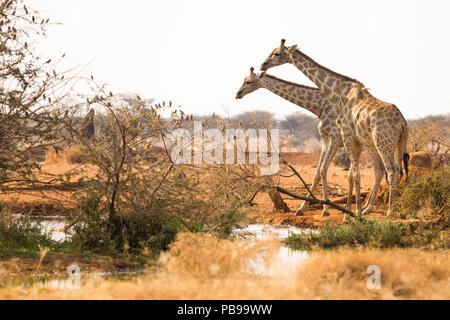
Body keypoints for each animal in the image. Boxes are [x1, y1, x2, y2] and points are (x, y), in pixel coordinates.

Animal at [258, 40, 410, 219]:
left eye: (277, 53)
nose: (262, 65)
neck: (340, 93)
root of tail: (402, 122)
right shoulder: (354, 141)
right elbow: (349, 174)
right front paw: (350, 213)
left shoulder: (345, 136)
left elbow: (352, 174)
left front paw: (353, 214)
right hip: (398, 143)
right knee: (397, 171)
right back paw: (388, 209)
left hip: (382, 144)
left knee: (391, 171)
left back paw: (388, 213)